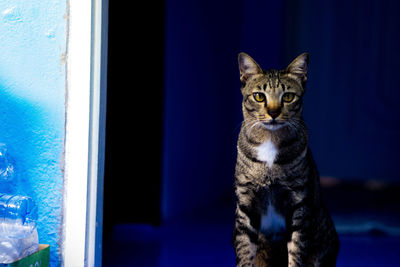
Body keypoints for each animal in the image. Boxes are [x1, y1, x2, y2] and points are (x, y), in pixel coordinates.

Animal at [233, 52, 340, 267]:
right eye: (259, 96)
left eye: (288, 96)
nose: (274, 113)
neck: (270, 141)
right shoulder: (246, 203)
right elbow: (245, 248)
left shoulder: (299, 205)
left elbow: (297, 250)